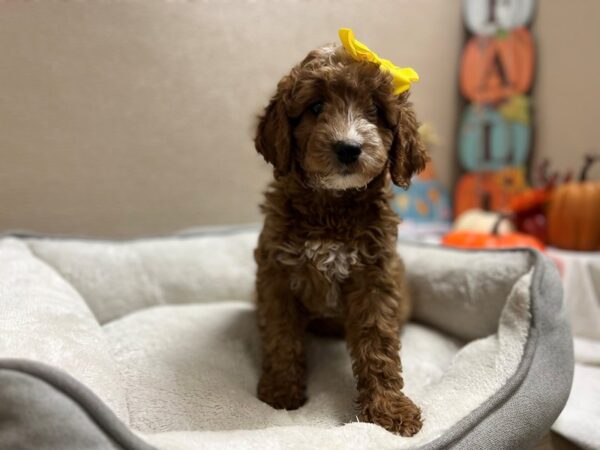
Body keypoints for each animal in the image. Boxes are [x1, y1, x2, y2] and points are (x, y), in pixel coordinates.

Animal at [252, 43, 426, 436]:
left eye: (375, 111)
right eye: (316, 107)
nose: (348, 147)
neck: (331, 205)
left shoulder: (375, 277)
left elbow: (378, 344)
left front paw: (389, 410)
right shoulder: (277, 273)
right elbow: (281, 334)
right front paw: (281, 391)